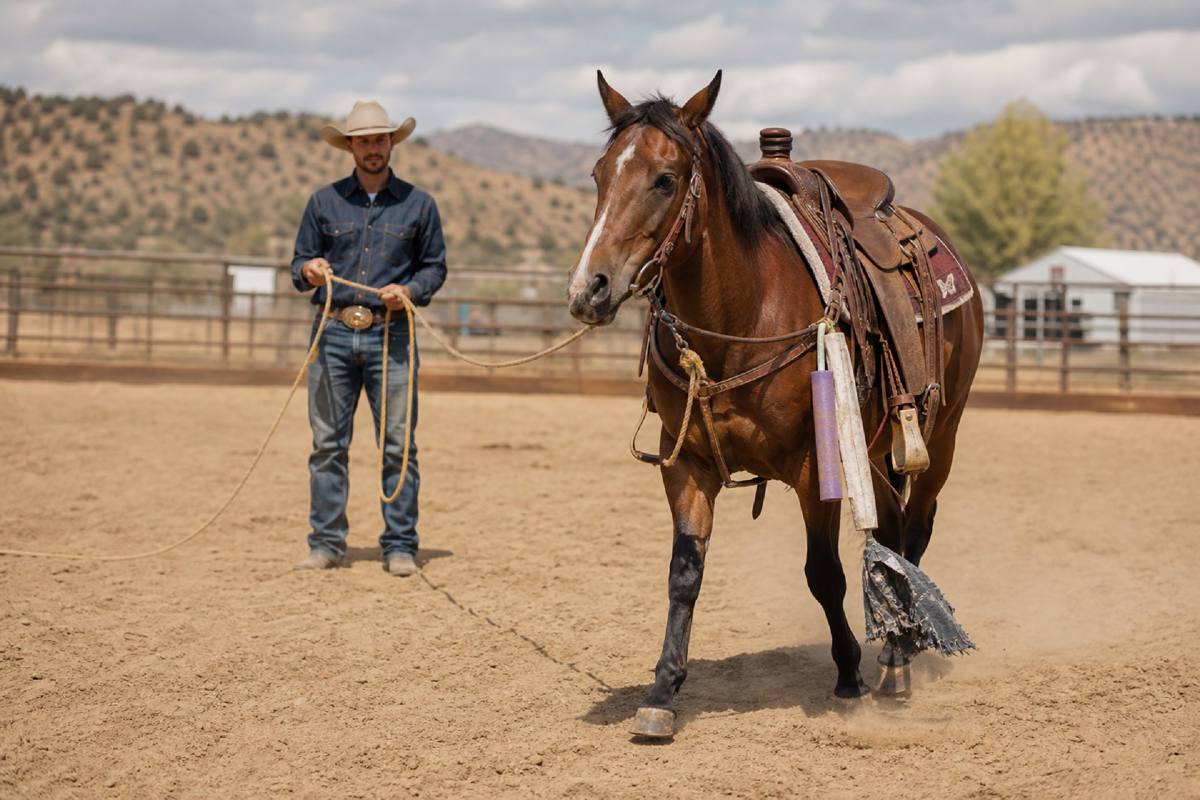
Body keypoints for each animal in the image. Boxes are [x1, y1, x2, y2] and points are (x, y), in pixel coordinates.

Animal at [566, 71, 984, 738]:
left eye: (665, 179)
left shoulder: (816, 469)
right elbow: (684, 574)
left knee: (915, 527)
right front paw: (662, 691)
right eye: (599, 173)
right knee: (893, 528)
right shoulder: (686, 465)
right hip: (875, 448)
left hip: (940, 434)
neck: (741, 316)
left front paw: (848, 674)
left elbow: (824, 573)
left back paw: (898, 660)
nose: (589, 288)